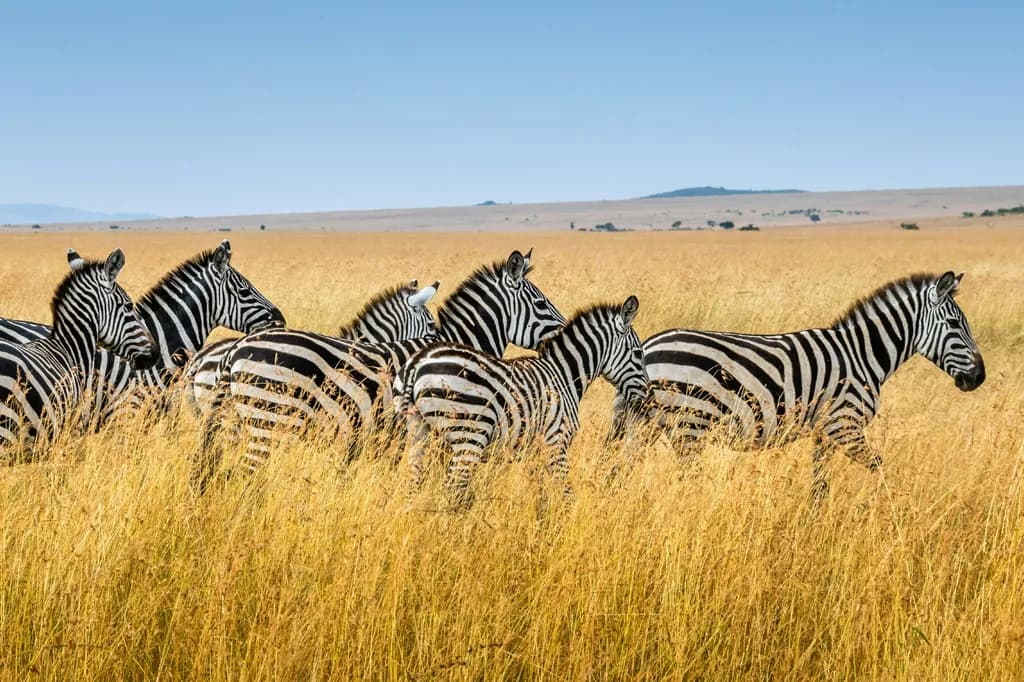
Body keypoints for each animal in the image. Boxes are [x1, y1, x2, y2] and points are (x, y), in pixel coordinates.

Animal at [401, 296, 646, 505]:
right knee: (451, 489)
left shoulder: (534, 451)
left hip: (418, 432)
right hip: (469, 436)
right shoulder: (556, 442)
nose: (646, 396)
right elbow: (565, 493)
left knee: (413, 485)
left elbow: (540, 494)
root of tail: (417, 363)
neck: (564, 375)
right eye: (638, 353)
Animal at [635, 271, 986, 500]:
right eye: (954, 324)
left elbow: (820, 484)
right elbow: (878, 467)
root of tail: (648, 346)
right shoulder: (844, 425)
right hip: (689, 426)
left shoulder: (824, 432)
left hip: (652, 426)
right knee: (686, 482)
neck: (861, 354)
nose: (979, 377)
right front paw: (888, 512)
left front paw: (814, 523)